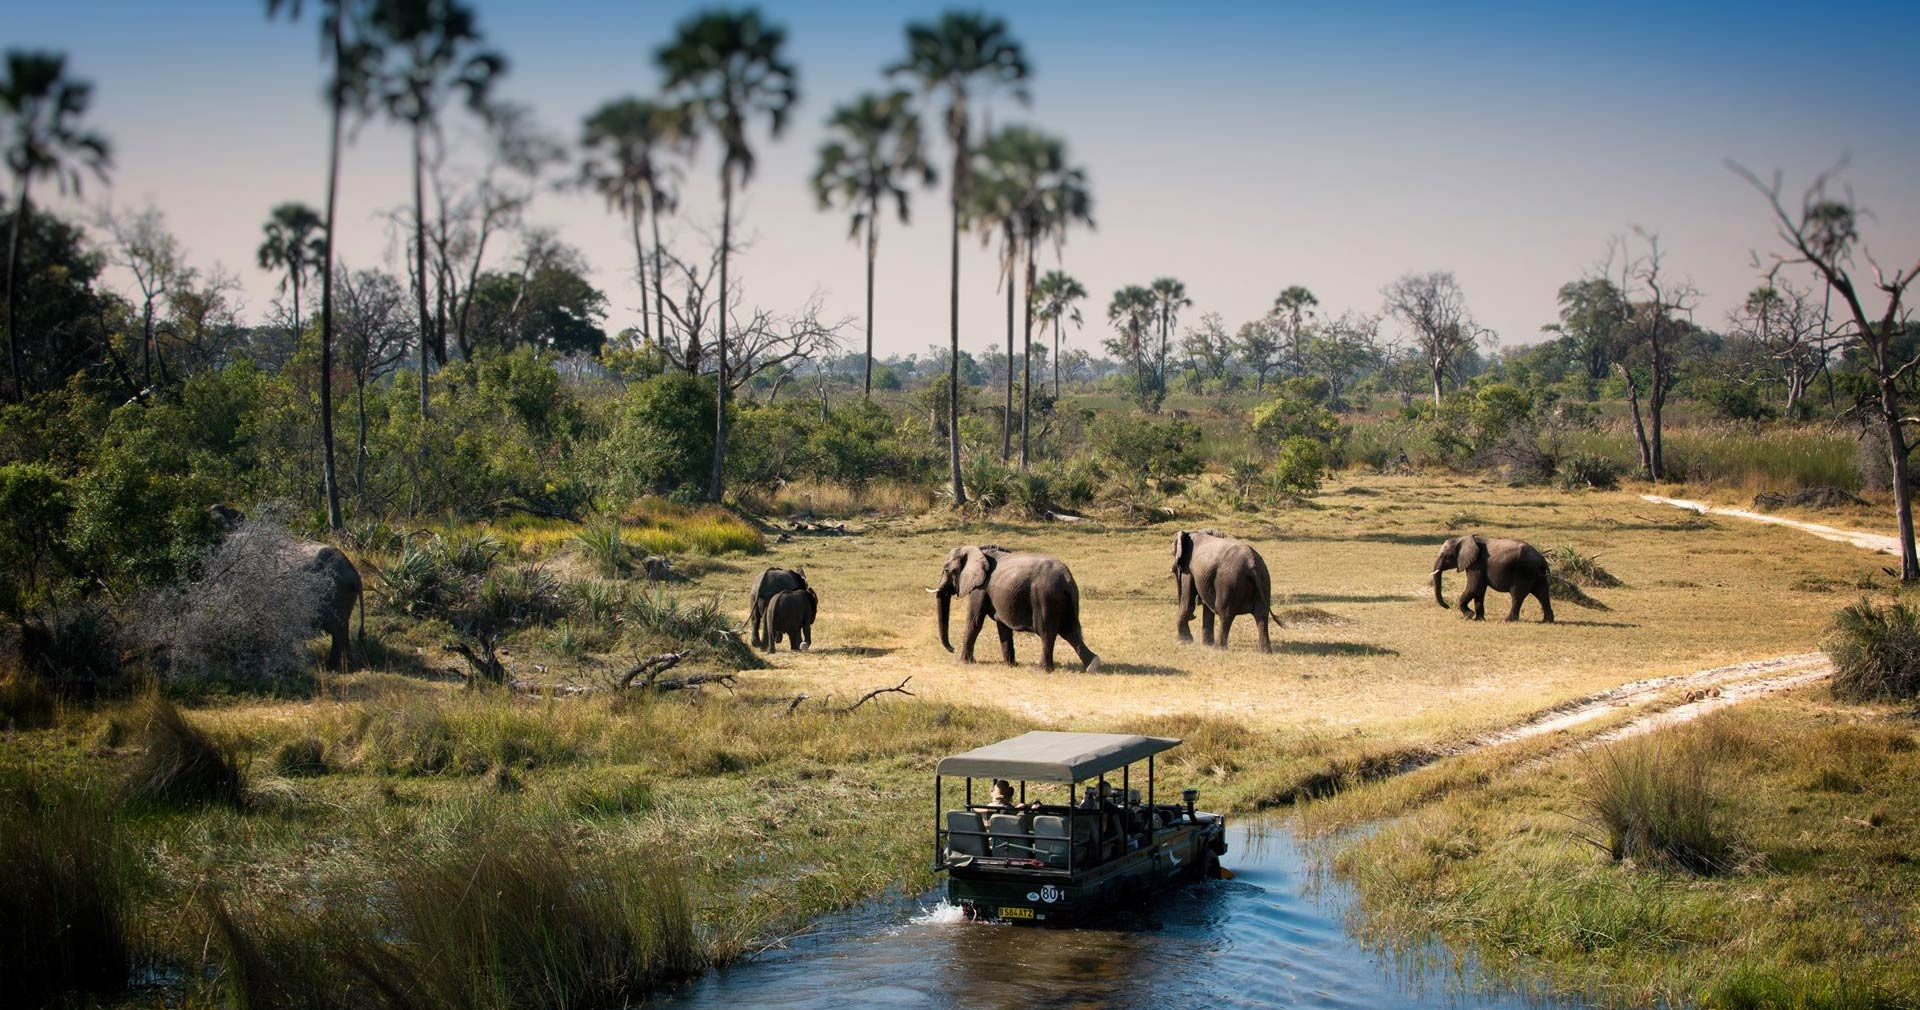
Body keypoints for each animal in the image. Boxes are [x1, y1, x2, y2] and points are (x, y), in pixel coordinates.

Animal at [929, 541, 1098, 675]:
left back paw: (1042, 670)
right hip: (1067, 599)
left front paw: (962, 662)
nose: (952, 649)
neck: (977, 549)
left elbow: (975, 621)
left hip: (1045, 597)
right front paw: (1011, 665)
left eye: (946, 570)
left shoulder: (980, 588)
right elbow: (1003, 627)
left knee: (1047, 632)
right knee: (1070, 631)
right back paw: (1093, 666)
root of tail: (1067, 578)